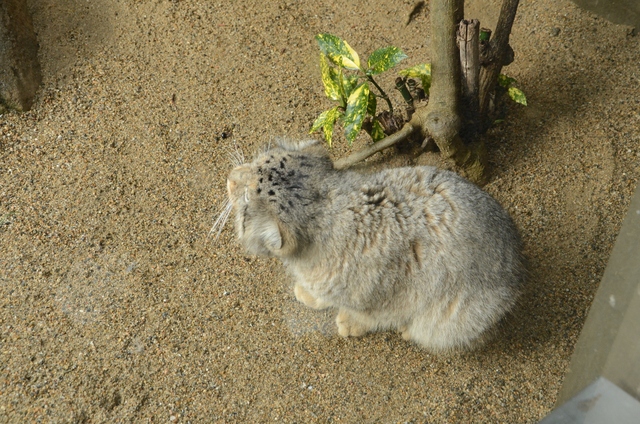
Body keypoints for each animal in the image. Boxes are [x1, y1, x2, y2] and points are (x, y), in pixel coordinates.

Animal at [215, 139, 524, 352]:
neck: (327, 206)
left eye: (245, 199)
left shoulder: (385, 293)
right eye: (256, 161)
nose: (230, 175)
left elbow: (372, 315)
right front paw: (310, 293)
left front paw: (349, 321)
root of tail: (519, 269)